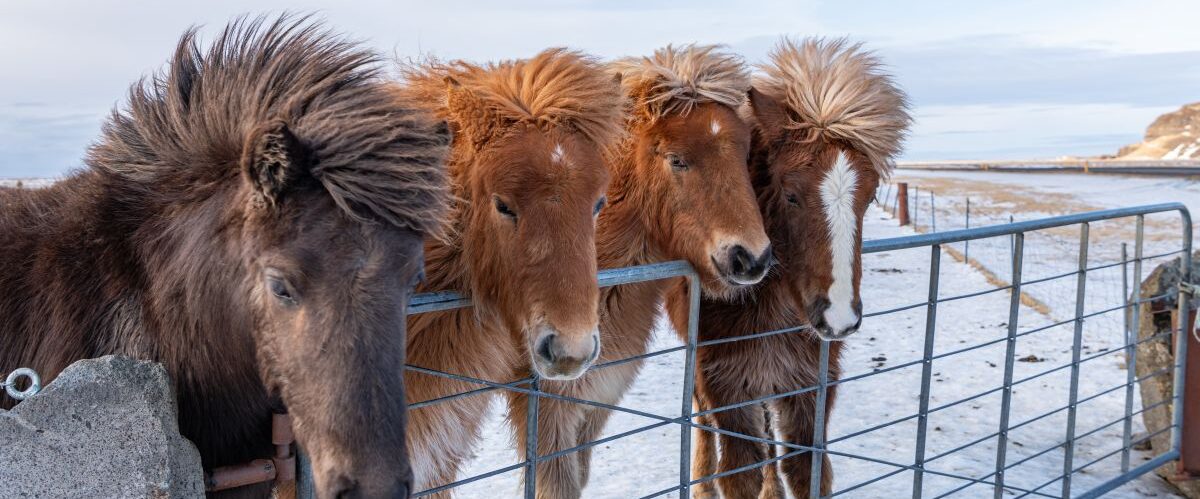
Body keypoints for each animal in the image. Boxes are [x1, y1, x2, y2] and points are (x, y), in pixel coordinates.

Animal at [684, 38, 911, 498]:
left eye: (869, 196)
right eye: (790, 195)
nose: (838, 318)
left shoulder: (810, 386)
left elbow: (807, 471)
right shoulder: (726, 384)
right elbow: (739, 472)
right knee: (702, 420)